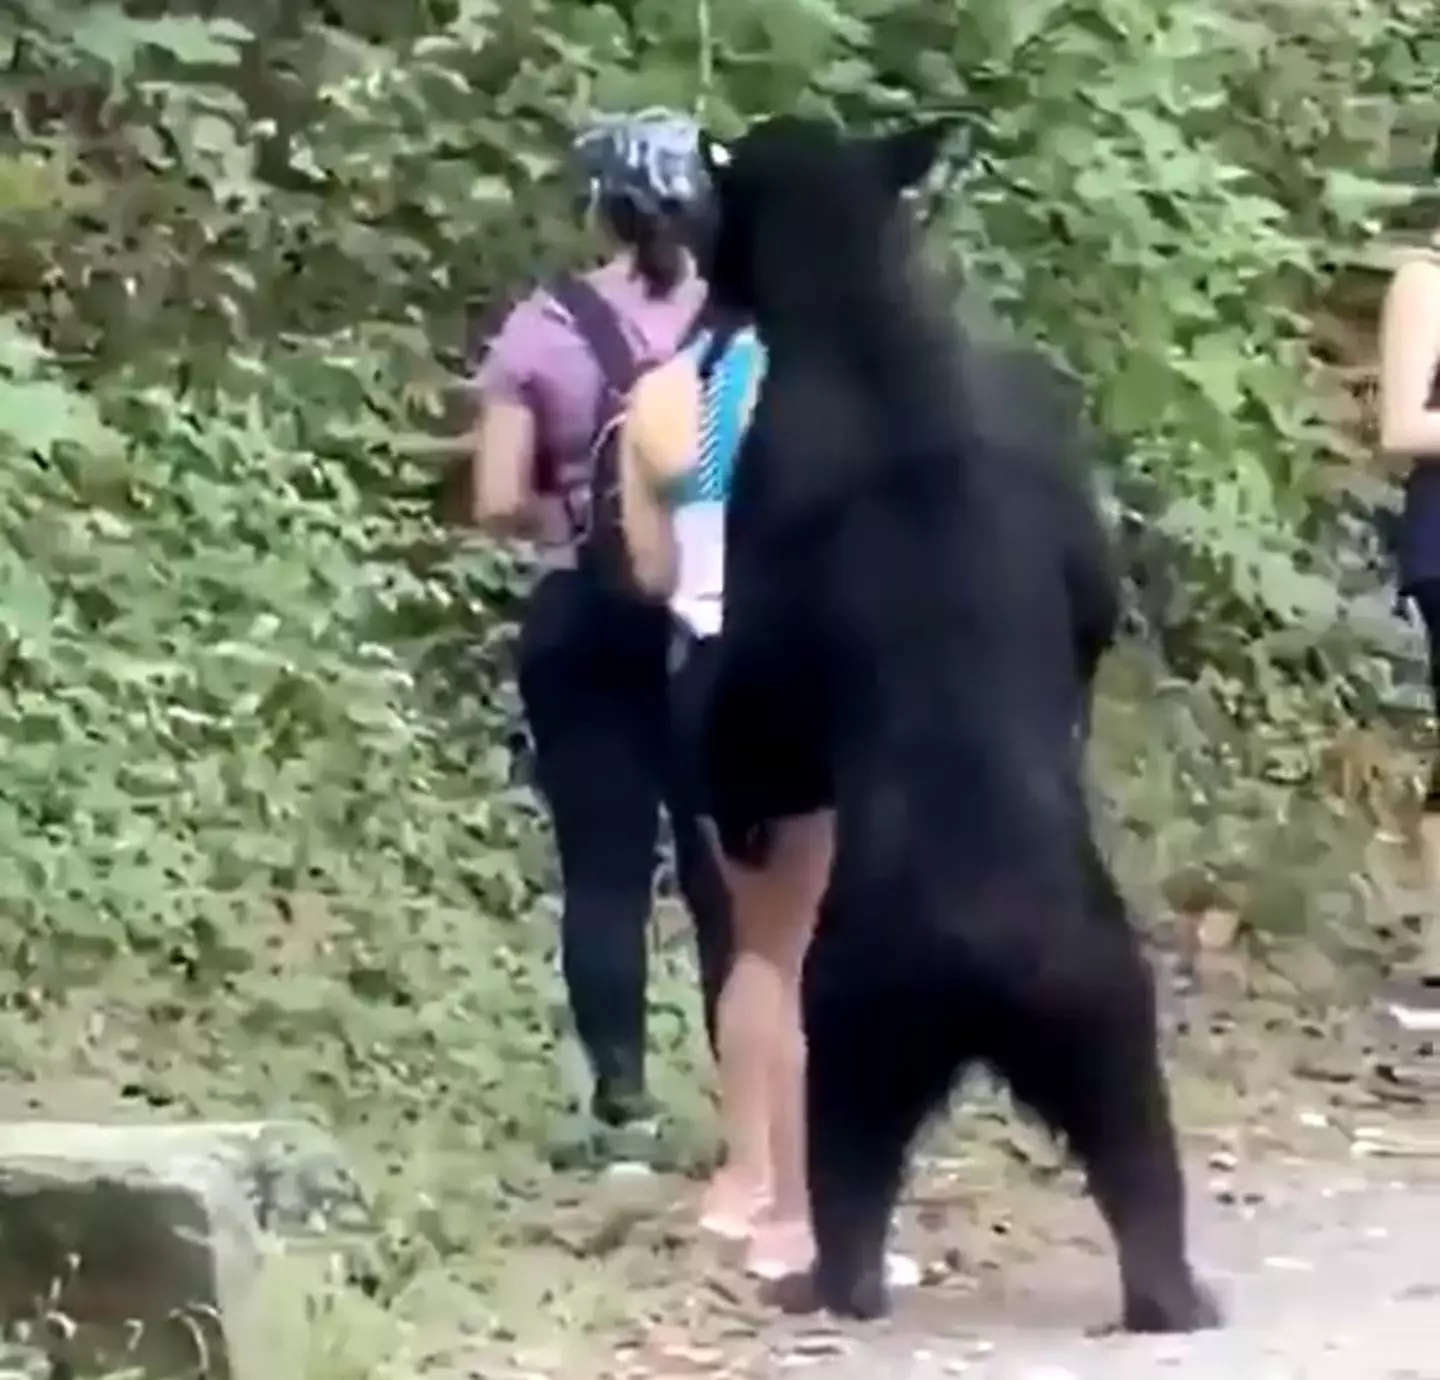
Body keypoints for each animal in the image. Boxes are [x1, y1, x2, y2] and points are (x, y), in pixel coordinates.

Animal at [694, 114, 1219, 1335]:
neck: (871, 322)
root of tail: (993, 961)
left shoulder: (767, 491)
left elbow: (757, 703)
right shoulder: (1046, 431)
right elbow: (1091, 603)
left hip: (859, 1009)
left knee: (844, 1148)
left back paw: (824, 1283)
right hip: (1104, 1006)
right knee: (1141, 1150)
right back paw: (1174, 1295)